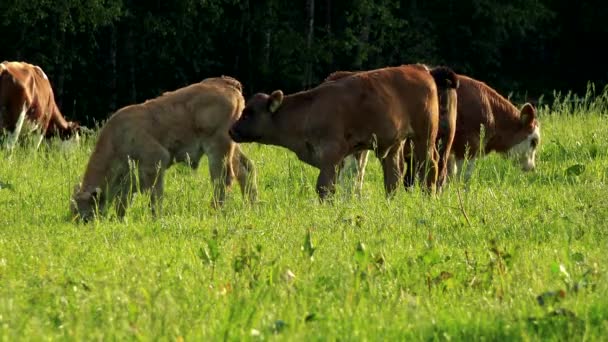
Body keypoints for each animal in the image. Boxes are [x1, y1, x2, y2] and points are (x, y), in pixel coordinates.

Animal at [70, 76, 256, 222]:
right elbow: (124, 199)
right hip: (233, 147)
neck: (118, 137)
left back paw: (215, 211)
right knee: (246, 169)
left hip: (218, 148)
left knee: (223, 178)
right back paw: (252, 207)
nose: (78, 222)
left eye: (83, 212)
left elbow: (154, 195)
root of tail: (226, 83)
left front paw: (155, 218)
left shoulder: (155, 162)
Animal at [229, 64, 456, 200]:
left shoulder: (330, 158)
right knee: (394, 175)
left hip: (423, 137)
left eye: (249, 113)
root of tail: (419, 68)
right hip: (395, 145)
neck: (309, 109)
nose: (232, 130)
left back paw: (428, 196)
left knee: (430, 165)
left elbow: (324, 188)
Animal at [340, 70, 540, 192]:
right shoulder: (468, 146)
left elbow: (448, 175)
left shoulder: (450, 149)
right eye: (534, 141)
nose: (531, 167)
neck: (487, 108)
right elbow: (463, 177)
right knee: (350, 172)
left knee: (358, 172)